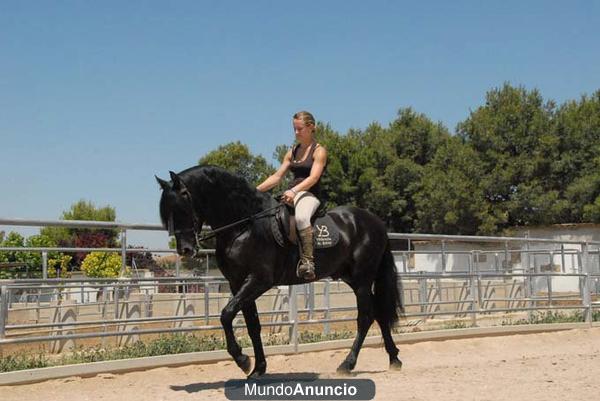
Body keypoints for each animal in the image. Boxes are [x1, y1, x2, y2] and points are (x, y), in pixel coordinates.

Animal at [157, 164, 406, 376]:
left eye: (182, 206)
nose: (186, 249)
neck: (244, 226)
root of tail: (375, 222)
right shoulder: (238, 283)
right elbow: (252, 325)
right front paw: (258, 369)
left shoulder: (259, 280)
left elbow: (226, 314)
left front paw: (242, 360)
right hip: (352, 278)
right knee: (379, 312)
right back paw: (394, 359)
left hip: (363, 278)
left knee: (365, 317)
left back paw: (347, 364)